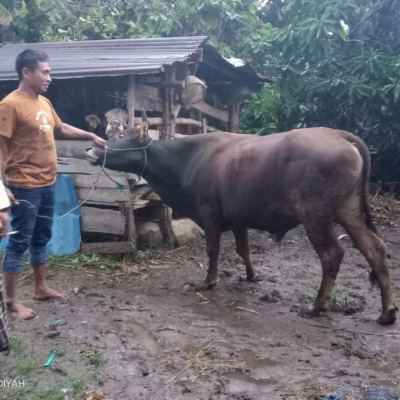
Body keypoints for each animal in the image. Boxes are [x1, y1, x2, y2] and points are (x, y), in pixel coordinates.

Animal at [86, 119, 398, 324]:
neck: (186, 160)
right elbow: (243, 249)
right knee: (375, 249)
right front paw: (252, 275)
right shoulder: (238, 217)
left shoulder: (209, 213)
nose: (91, 149)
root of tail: (338, 134)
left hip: (315, 214)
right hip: (349, 210)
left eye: (120, 136)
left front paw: (208, 281)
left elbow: (213, 250)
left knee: (332, 254)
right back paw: (386, 312)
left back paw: (316, 307)